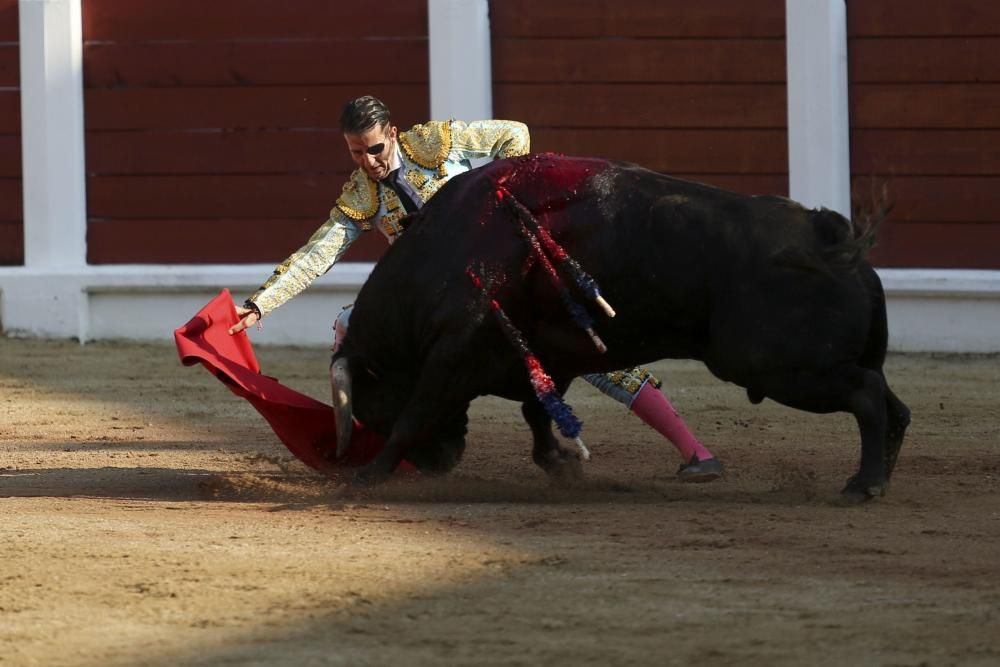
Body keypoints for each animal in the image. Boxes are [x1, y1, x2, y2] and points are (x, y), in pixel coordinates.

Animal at [332, 154, 912, 498]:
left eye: (370, 409)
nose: (438, 463)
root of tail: (830, 238)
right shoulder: (546, 355)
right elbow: (538, 411)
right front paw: (562, 464)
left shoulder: (454, 354)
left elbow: (417, 412)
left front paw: (366, 476)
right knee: (892, 403)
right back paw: (881, 474)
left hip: (778, 366)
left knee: (867, 395)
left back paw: (863, 485)